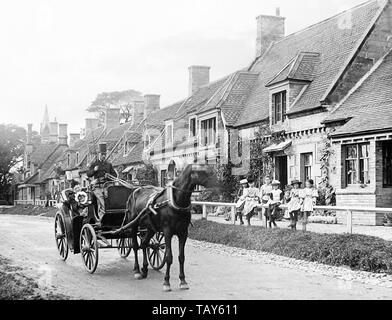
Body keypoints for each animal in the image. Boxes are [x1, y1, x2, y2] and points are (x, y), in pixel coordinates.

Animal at [125, 164, 217, 292]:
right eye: (204, 171)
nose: (219, 183)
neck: (176, 201)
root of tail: (135, 191)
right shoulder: (167, 232)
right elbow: (169, 257)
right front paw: (166, 282)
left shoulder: (183, 233)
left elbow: (181, 257)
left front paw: (183, 281)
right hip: (133, 225)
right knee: (134, 246)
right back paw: (137, 270)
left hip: (151, 228)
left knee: (144, 244)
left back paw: (144, 269)